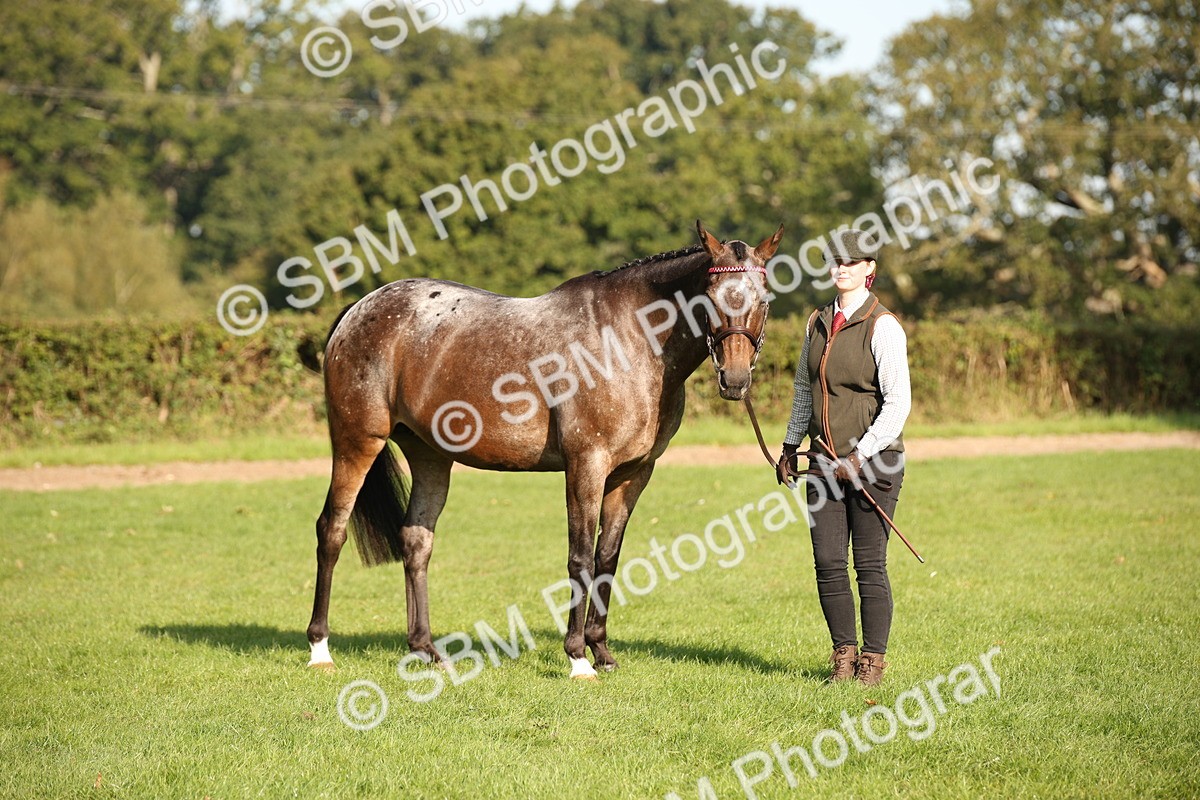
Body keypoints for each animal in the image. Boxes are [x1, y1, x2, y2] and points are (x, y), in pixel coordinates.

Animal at [306, 220, 783, 679]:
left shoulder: (633, 474)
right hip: (356, 442)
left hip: (430, 456)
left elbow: (608, 558)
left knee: (416, 540)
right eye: (711, 297)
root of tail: (357, 310)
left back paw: (427, 651)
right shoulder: (586, 465)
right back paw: (320, 649)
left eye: (764, 301)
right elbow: (580, 559)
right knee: (332, 530)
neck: (629, 339)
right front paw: (577, 658)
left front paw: (601, 652)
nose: (735, 379)